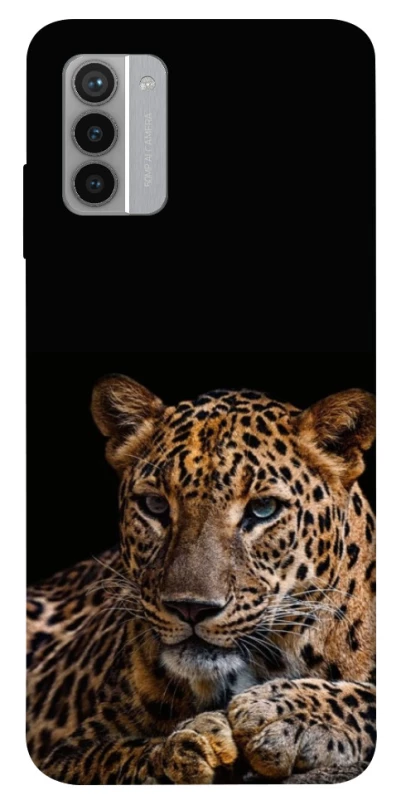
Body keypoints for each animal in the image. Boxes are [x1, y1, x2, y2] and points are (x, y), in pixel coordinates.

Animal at [27, 374, 376, 784]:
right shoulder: (64, 755)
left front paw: (282, 713)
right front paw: (187, 748)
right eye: (155, 506)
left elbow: (367, 697)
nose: (190, 608)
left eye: (263, 509)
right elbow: (116, 758)